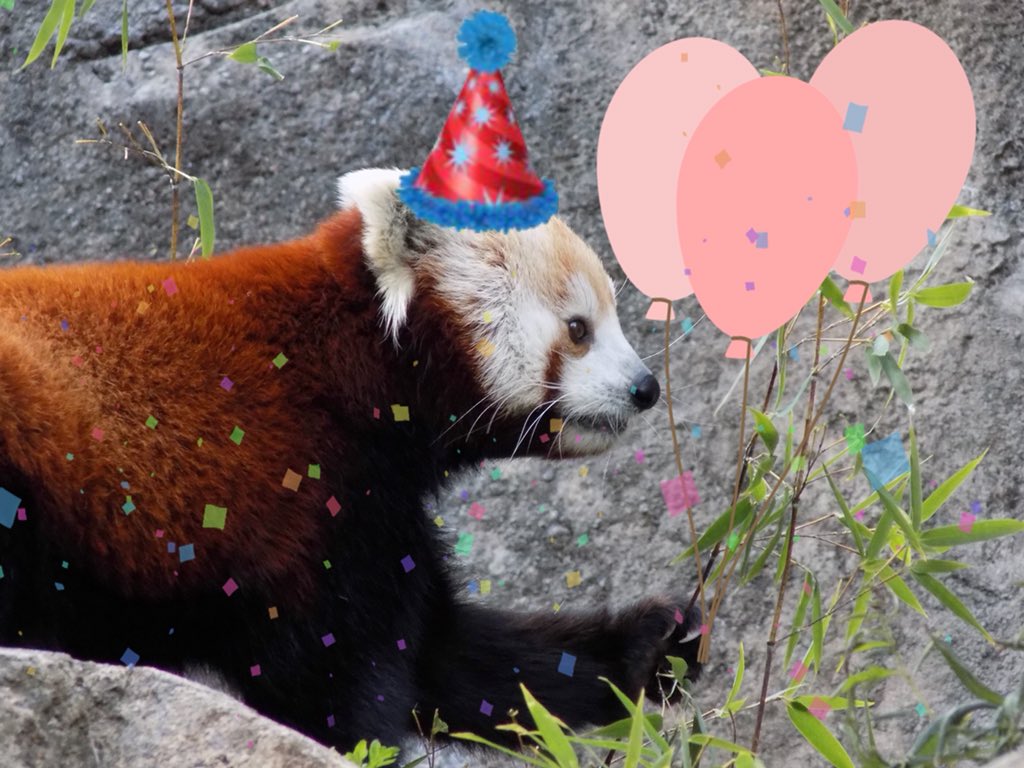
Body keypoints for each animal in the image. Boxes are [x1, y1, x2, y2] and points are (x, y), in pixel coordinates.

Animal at [0, 168, 702, 751]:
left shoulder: (378, 506)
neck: (349, 360)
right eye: (578, 329)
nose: (645, 387)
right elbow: (340, 671)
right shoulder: (307, 494)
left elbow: (452, 659)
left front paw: (654, 642)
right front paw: (350, 744)